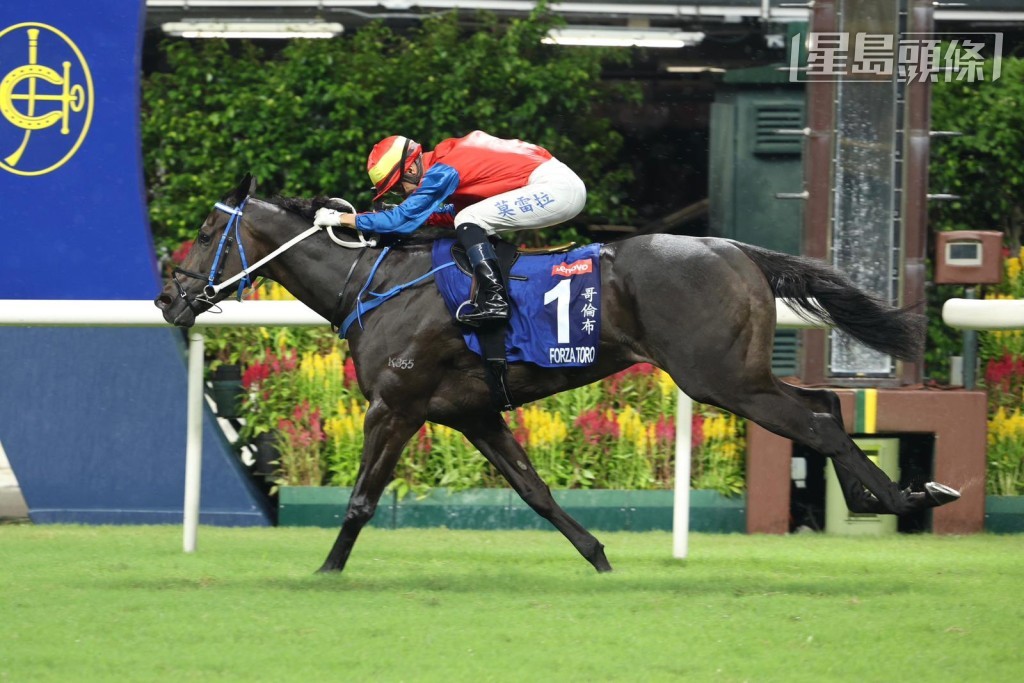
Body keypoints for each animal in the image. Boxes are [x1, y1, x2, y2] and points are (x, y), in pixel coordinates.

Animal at [156, 174, 961, 574]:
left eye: (205, 231)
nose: (166, 297)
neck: (375, 282)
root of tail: (735, 249)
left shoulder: (398, 405)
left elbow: (358, 501)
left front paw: (324, 572)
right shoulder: (472, 413)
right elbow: (536, 493)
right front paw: (600, 558)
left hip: (719, 378)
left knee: (817, 420)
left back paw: (906, 493)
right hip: (739, 374)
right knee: (824, 404)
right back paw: (885, 492)